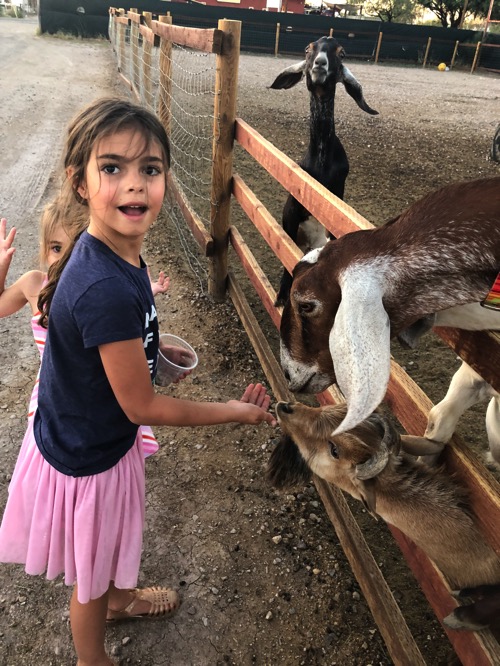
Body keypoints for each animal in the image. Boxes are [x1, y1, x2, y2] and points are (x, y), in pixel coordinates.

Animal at [272, 36, 376, 304]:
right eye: (308, 49)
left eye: (341, 52)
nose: (320, 63)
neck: (321, 170)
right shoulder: (291, 212)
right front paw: (281, 295)